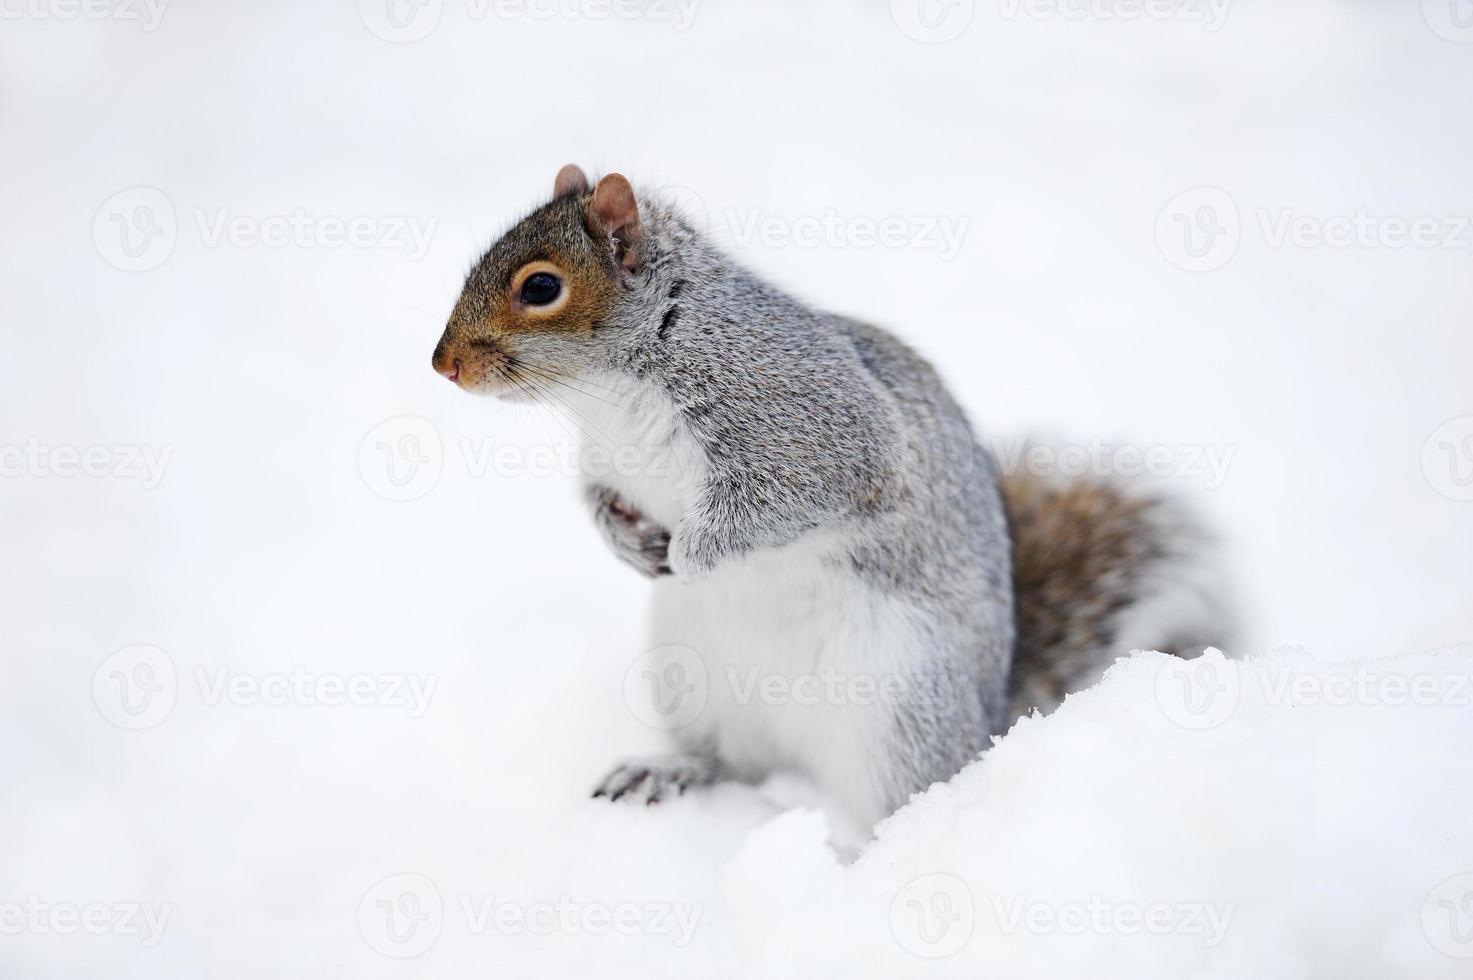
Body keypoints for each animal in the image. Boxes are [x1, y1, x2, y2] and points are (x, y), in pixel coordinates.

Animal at [433, 164, 1231, 831]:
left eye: (541, 287)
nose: (442, 365)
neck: (609, 394)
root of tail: (985, 724)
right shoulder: (608, 463)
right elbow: (597, 497)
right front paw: (625, 542)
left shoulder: (816, 425)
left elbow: (787, 497)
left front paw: (691, 553)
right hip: (693, 682)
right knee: (730, 762)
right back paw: (670, 772)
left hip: (897, 713)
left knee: (898, 803)